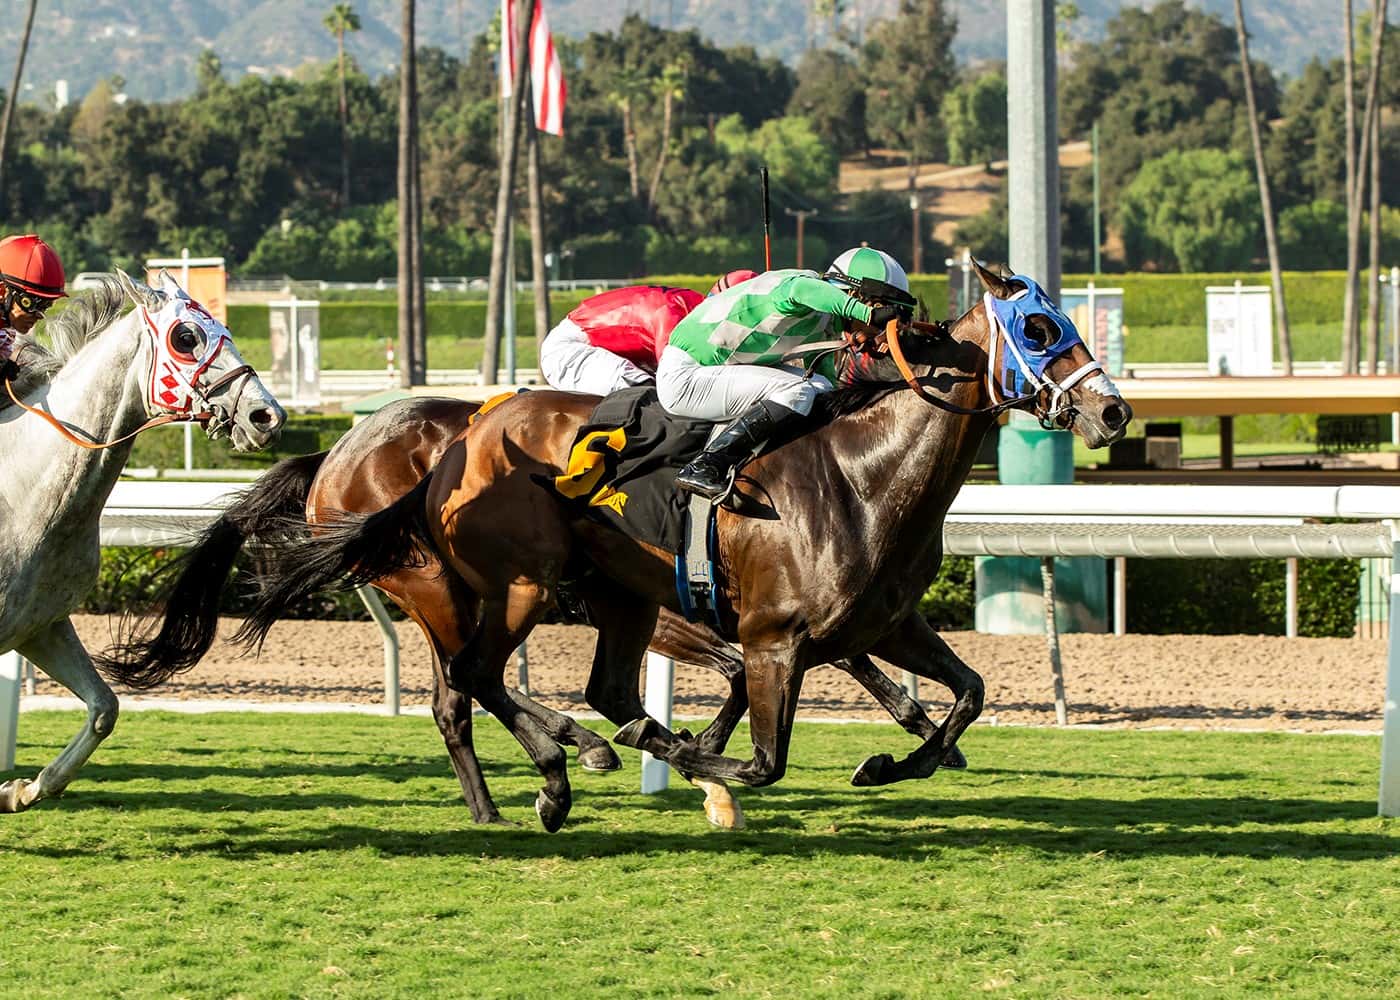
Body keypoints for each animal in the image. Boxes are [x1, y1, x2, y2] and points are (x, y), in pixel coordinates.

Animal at [229, 259, 1125, 823]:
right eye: (1039, 327)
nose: (1111, 410)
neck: (862, 473)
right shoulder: (769, 638)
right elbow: (764, 758)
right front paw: (708, 771)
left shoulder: (887, 622)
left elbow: (969, 691)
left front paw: (890, 759)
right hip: (498, 584)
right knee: (472, 682)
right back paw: (559, 774)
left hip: (612, 596)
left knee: (587, 690)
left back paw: (565, 766)